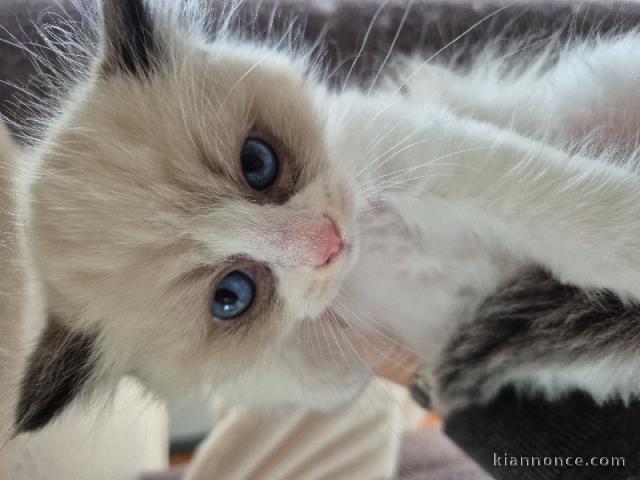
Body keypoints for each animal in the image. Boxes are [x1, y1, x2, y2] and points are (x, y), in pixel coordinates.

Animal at [7, 0, 640, 436]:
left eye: (258, 163)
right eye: (231, 297)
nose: (329, 241)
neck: (374, 249)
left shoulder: (415, 150)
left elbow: (559, 205)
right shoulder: (325, 373)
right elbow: (308, 375)